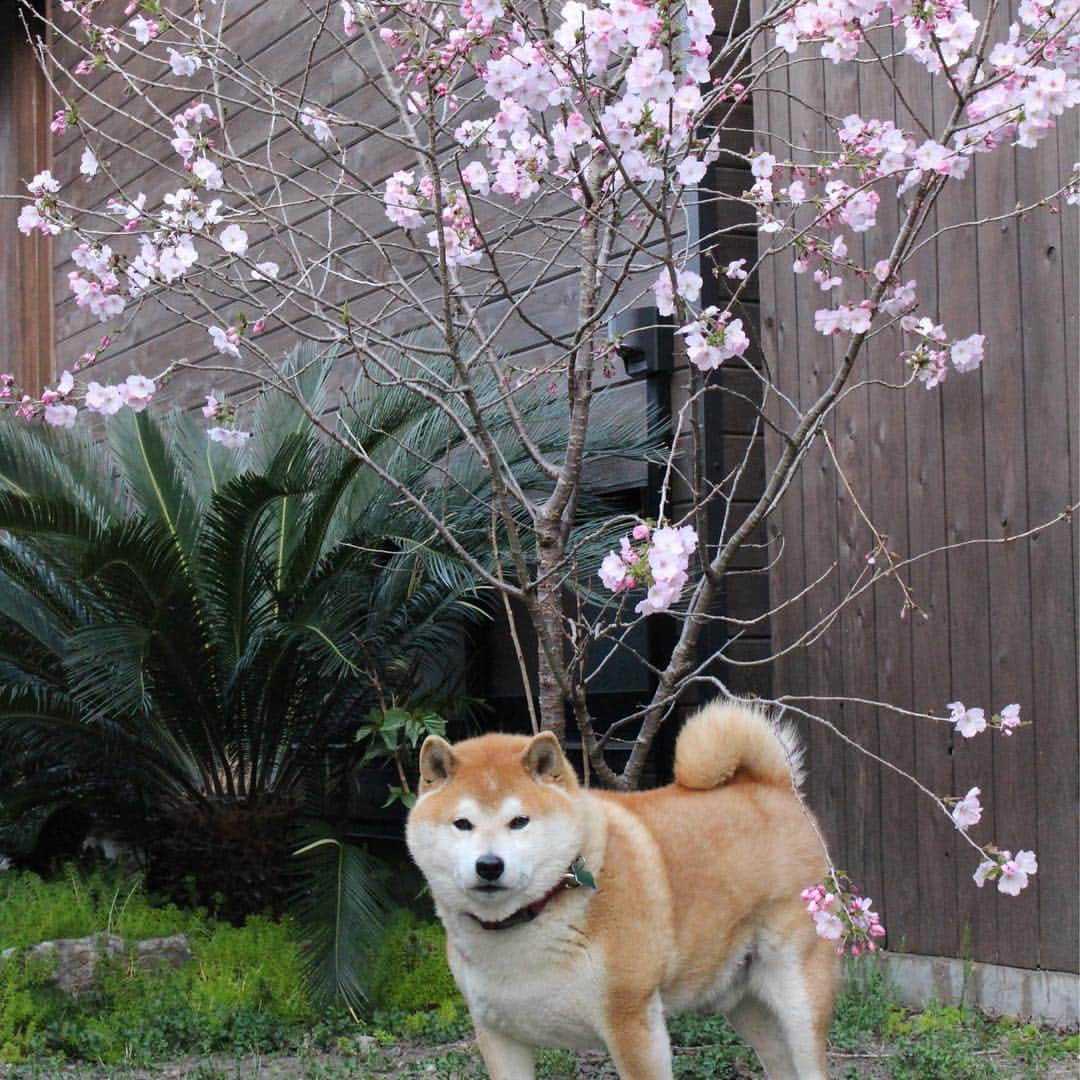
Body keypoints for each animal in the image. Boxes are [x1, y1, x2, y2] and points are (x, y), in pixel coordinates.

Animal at [406, 699, 833, 1080]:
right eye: (463, 824)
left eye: (519, 822)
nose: (490, 865)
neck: (534, 917)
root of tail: (772, 785)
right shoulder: (497, 1035)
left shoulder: (631, 1022)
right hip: (744, 1003)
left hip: (798, 996)